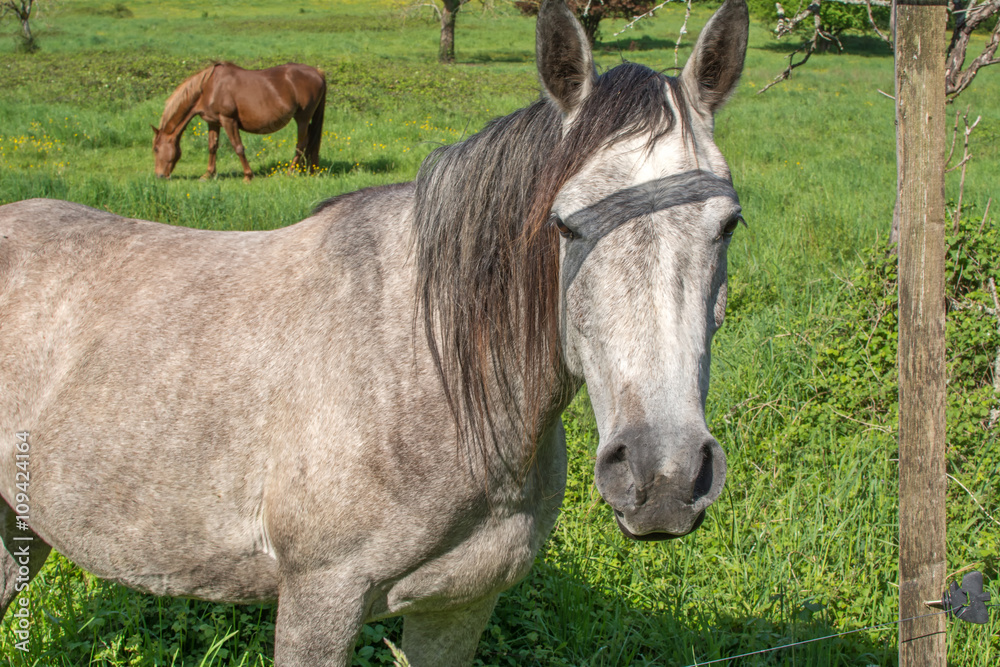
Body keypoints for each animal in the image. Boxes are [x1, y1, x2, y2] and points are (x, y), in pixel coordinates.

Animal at [151, 62, 327, 182]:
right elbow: (212, 147)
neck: (209, 88)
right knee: (310, 142)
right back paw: (309, 170)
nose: (159, 176)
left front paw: (248, 176)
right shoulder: (213, 122)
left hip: (302, 118)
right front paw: (208, 174)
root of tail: (317, 72)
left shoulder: (228, 120)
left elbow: (238, 147)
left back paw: (291, 172)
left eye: (156, 149)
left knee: (301, 144)